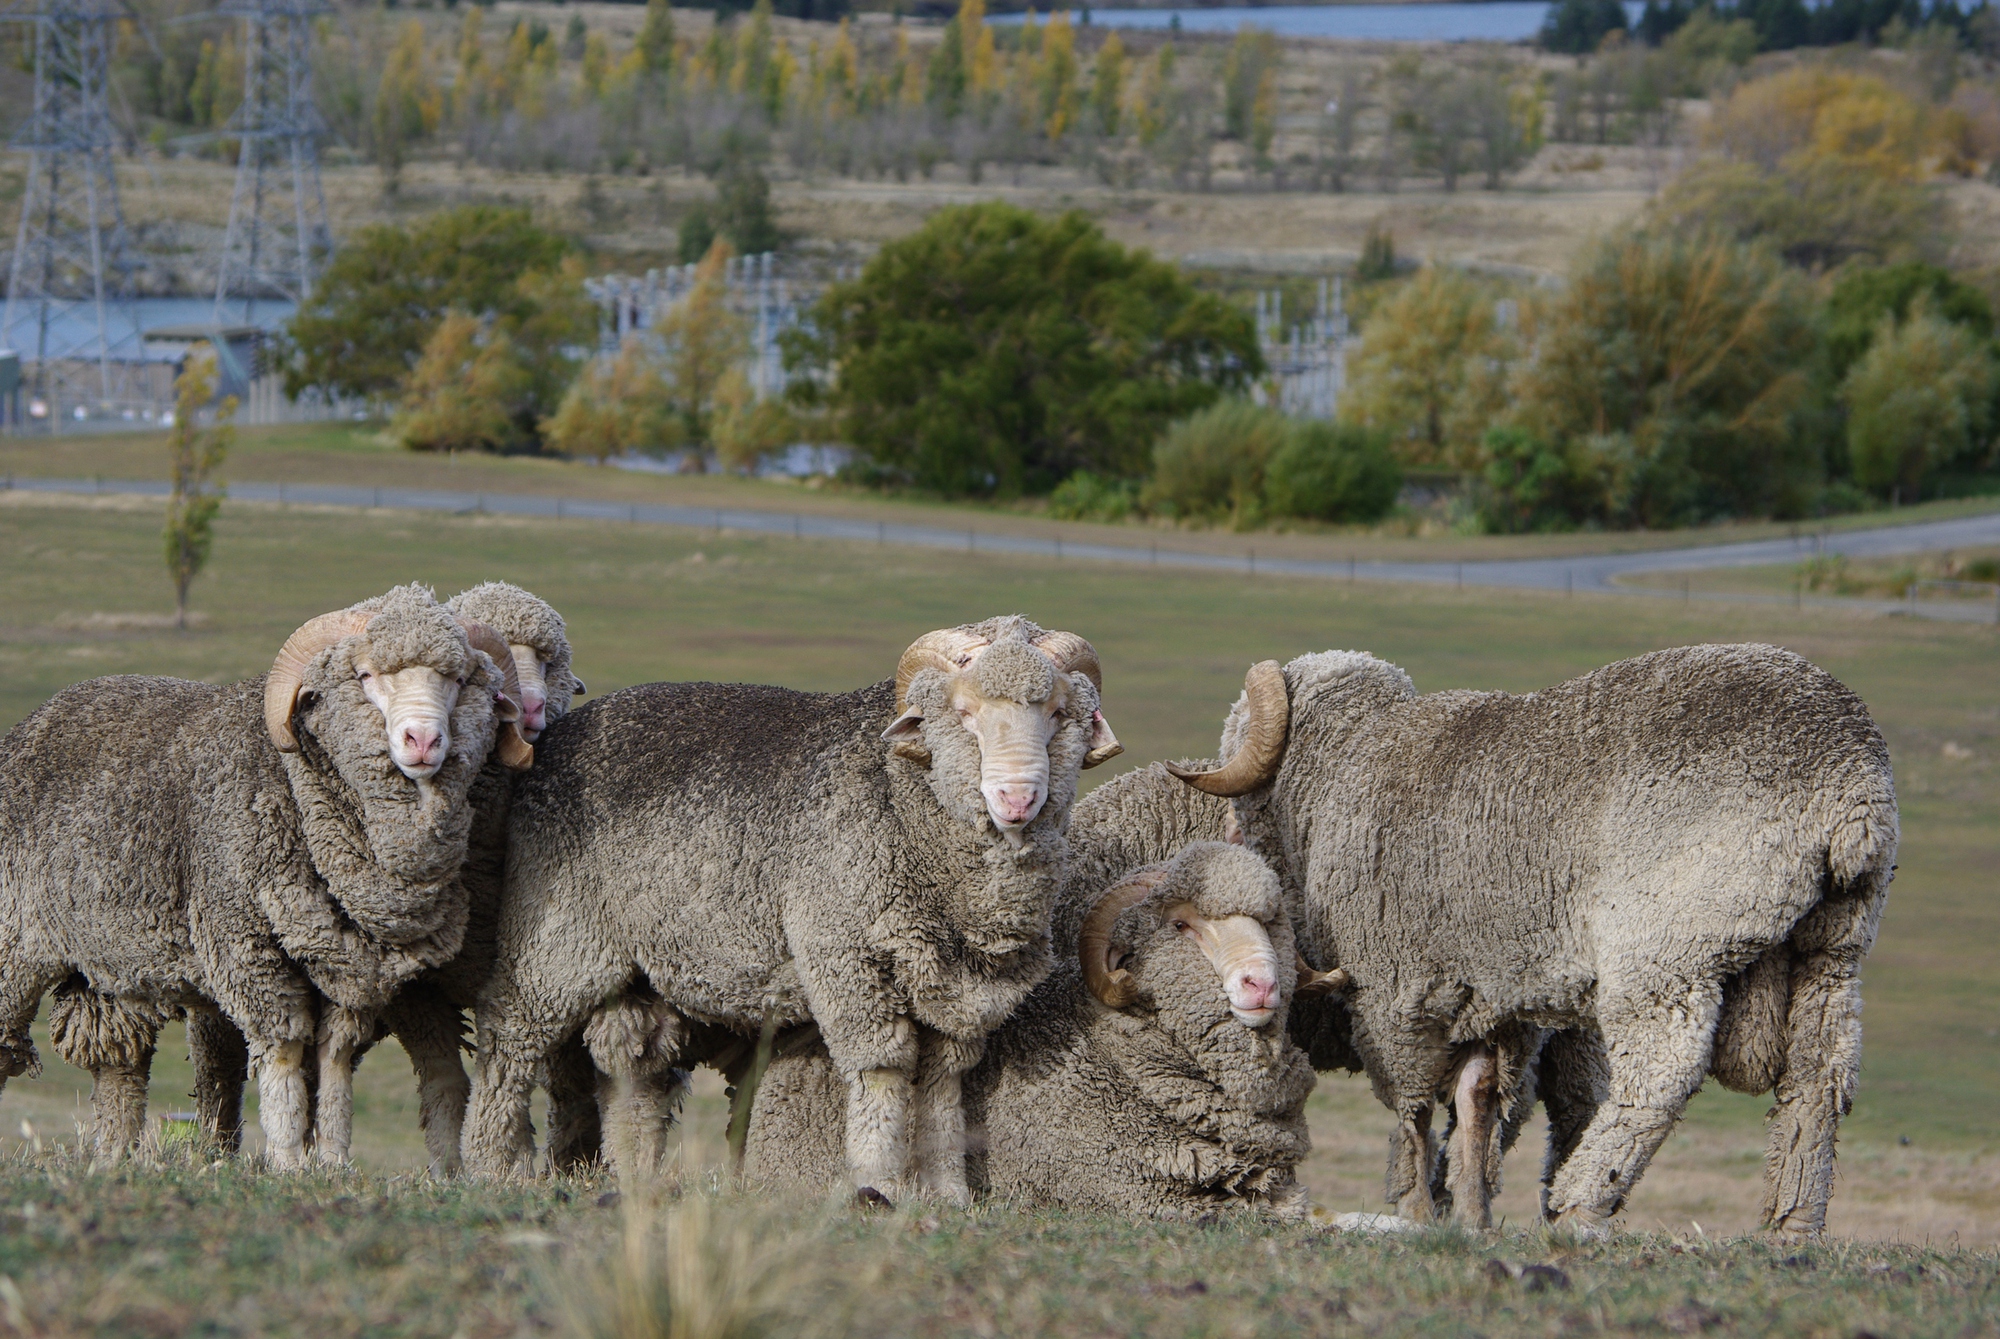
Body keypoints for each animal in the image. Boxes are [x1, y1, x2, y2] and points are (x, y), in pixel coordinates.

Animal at [9, 587, 524, 1167]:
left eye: (458, 679)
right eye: (365, 675)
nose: (423, 740)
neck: (295, 785)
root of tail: (41, 715)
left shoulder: (351, 970)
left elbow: (334, 1062)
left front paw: (331, 1162)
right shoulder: (248, 950)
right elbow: (283, 1056)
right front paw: (285, 1159)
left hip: (108, 964)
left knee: (119, 1066)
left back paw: (113, 1158)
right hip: (14, 942)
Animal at [468, 615, 1128, 1199]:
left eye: (1059, 714)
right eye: (963, 715)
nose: (1017, 798)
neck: (904, 801)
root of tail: (560, 736)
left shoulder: (957, 989)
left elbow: (944, 1082)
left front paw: (947, 1193)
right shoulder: (848, 959)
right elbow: (882, 1072)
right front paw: (878, 1184)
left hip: (641, 968)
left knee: (633, 1071)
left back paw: (634, 1175)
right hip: (555, 939)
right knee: (509, 1040)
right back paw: (491, 1165)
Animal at [1168, 643, 1904, 1247]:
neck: (1346, 767)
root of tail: (1850, 791)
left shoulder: (1392, 992)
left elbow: (1414, 1108)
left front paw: (1415, 1207)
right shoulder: (1494, 996)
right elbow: (1477, 1104)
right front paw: (1469, 1214)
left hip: (1667, 945)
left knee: (1659, 1074)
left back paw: (1583, 1201)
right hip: (1833, 944)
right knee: (1818, 1076)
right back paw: (1792, 1222)